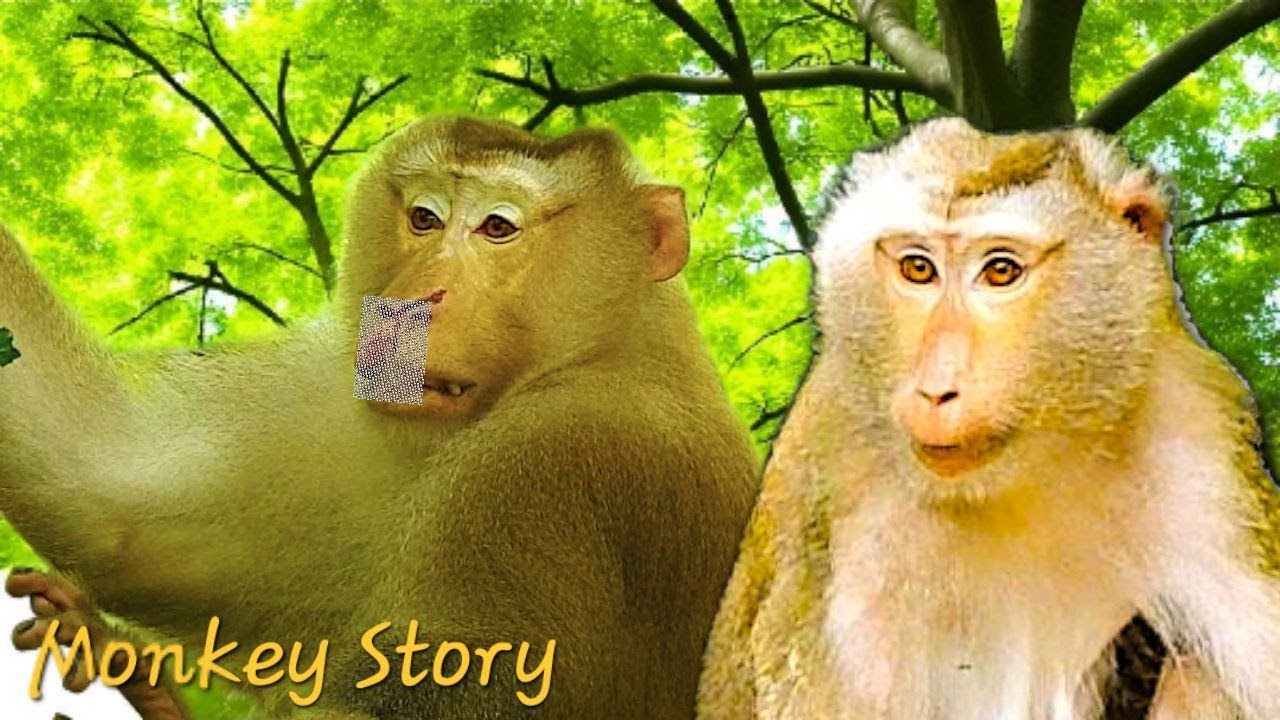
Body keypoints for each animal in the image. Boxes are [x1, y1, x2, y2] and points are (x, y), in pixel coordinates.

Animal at [0, 115, 759, 718]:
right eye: (423, 216)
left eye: (498, 226)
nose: (410, 298)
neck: (599, 352)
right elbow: (113, 497)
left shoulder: (553, 466)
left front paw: (136, 673)